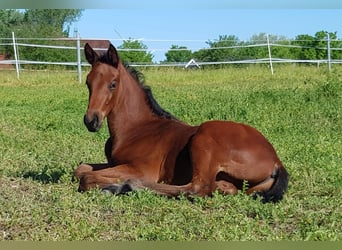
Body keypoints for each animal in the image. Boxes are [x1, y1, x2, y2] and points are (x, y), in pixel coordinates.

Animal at [74, 43, 288, 203]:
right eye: (88, 83)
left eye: (113, 84)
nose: (91, 121)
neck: (136, 129)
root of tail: (276, 160)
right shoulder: (114, 163)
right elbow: (81, 169)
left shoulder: (142, 169)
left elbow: (86, 177)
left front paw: (113, 185)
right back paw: (223, 186)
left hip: (204, 138)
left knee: (197, 188)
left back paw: (126, 186)